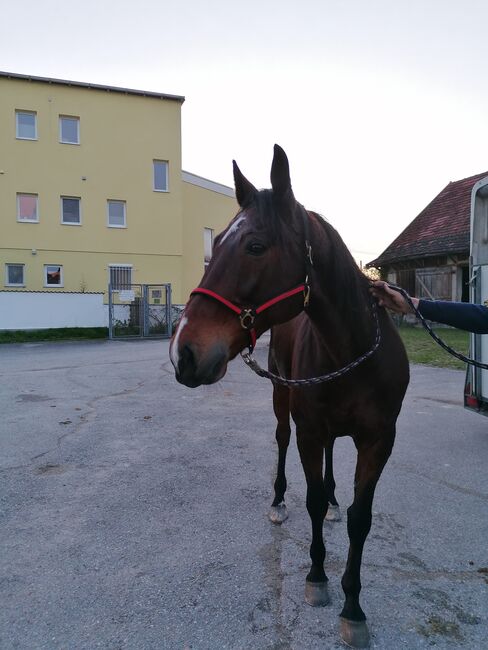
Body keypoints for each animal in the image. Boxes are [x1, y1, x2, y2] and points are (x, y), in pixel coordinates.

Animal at [170, 144, 410, 644]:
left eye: (255, 246)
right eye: (215, 244)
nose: (183, 351)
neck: (353, 349)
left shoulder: (379, 440)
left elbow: (361, 518)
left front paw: (354, 608)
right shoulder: (308, 431)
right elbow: (311, 499)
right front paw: (317, 579)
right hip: (283, 400)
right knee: (281, 441)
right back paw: (279, 501)